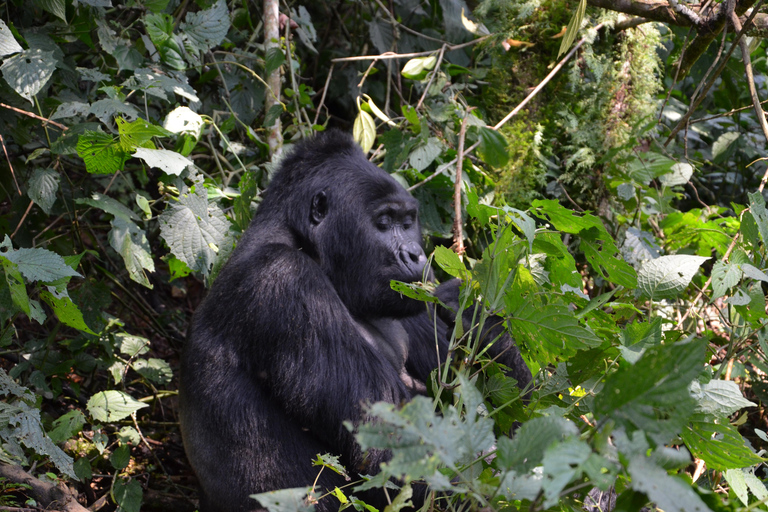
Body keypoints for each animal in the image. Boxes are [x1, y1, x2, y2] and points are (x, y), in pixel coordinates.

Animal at [178, 131, 532, 512]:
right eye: (384, 222)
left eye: (408, 222)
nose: (416, 254)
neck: (304, 244)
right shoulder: (286, 280)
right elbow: (389, 451)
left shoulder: (407, 297)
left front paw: (472, 315)